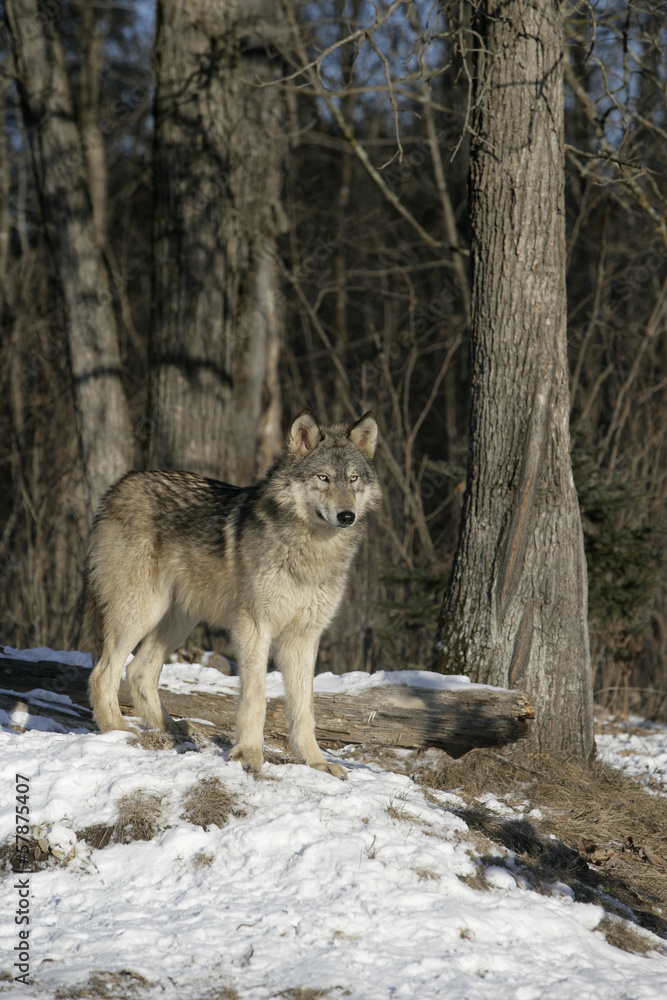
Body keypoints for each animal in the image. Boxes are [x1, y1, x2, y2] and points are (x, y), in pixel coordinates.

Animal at [81, 409, 381, 780]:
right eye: (323, 478)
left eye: (353, 479)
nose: (346, 516)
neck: (312, 552)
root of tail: (118, 487)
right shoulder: (254, 626)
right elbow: (256, 698)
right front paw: (248, 754)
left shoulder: (304, 637)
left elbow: (305, 709)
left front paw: (316, 763)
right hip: (140, 613)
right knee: (103, 673)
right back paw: (117, 730)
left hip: (177, 620)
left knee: (139, 672)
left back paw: (171, 727)